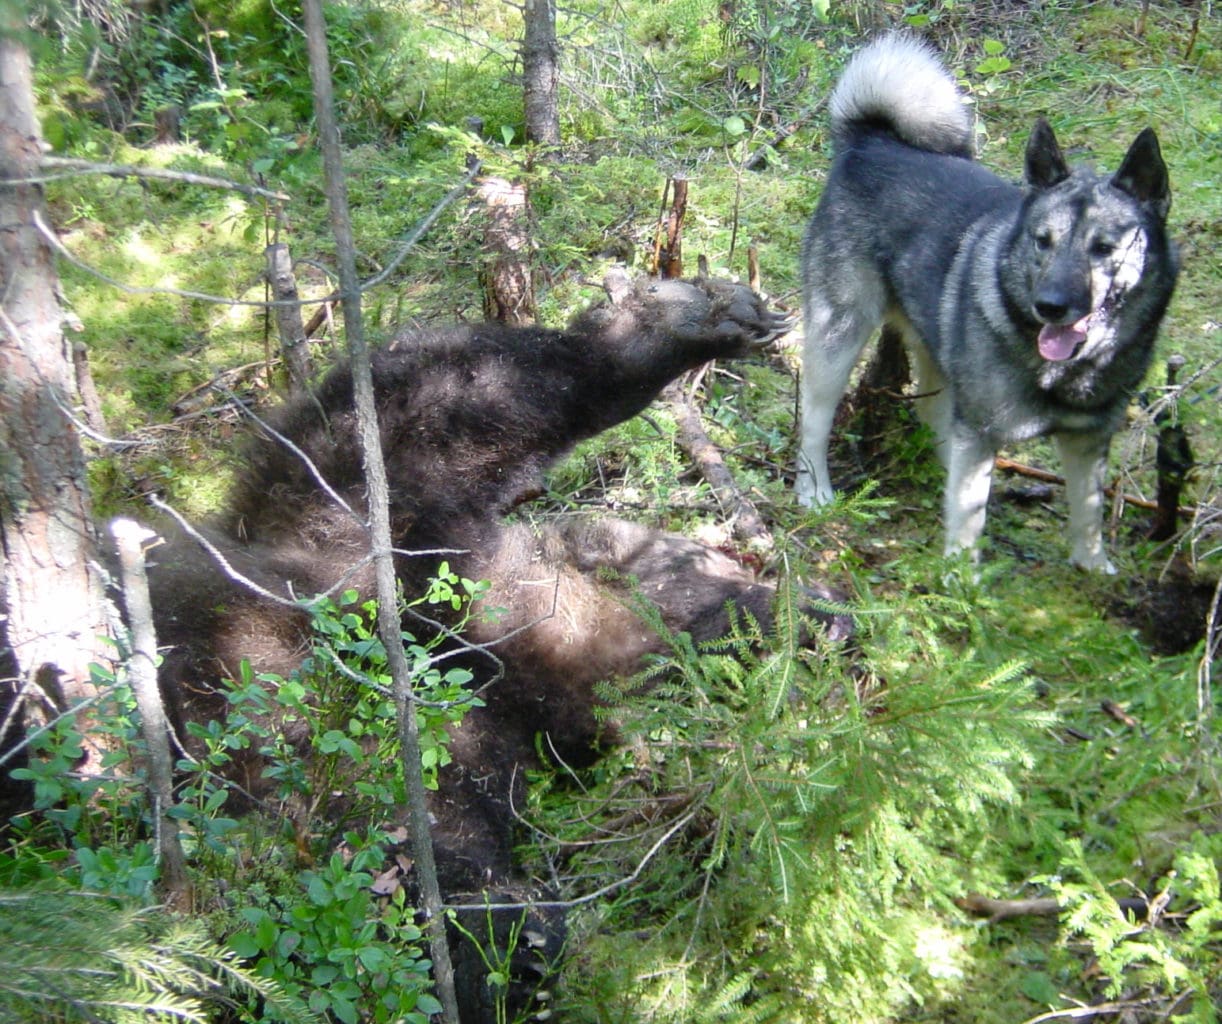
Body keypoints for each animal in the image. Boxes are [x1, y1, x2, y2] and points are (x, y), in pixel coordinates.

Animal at [796, 32, 1178, 574]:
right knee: (815, 417)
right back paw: (814, 492)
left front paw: (1092, 565)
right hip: (839, 336)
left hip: (937, 352)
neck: (1066, 369)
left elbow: (1089, 509)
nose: (1050, 306)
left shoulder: (1087, 440)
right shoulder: (981, 431)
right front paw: (961, 579)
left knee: (933, 415)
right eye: (1042, 241)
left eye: (1104, 248)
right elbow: (969, 512)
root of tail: (870, 141)